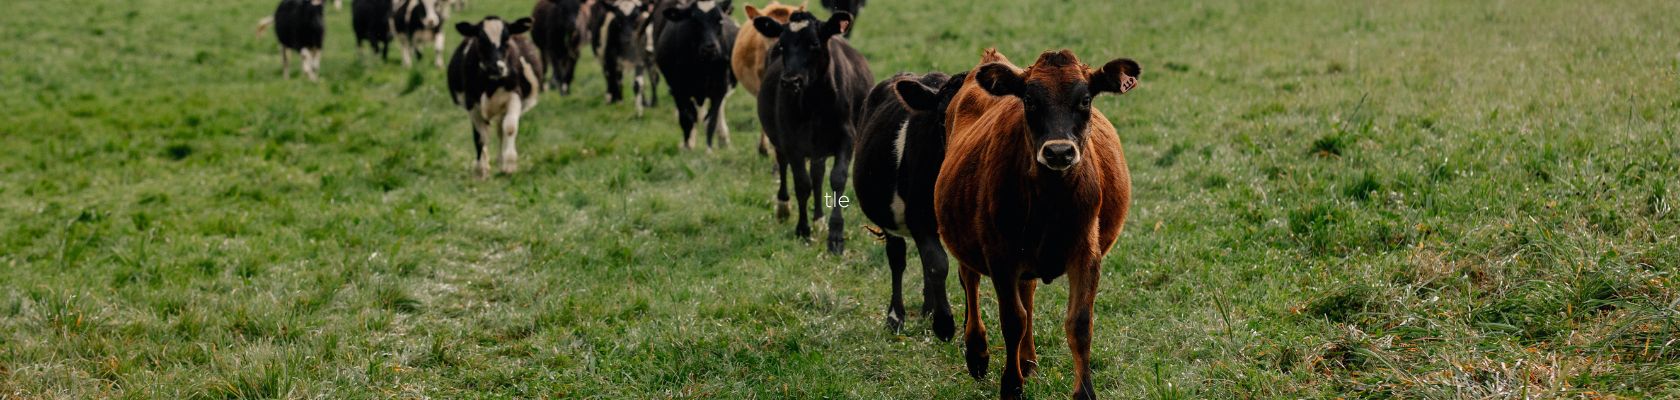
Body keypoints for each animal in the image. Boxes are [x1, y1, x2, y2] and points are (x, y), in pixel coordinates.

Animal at [447, 16, 544, 179]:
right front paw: (481, 169)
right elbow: (480, 136)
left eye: (506, 39)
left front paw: (509, 164)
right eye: (480, 40)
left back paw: (501, 159)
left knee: (501, 129)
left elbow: (509, 128)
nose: (496, 67)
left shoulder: (515, 95)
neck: (491, 84)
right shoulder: (471, 103)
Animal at [656, 0, 739, 151]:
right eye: (694, 20)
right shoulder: (678, 90)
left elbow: (711, 120)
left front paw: (709, 149)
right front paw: (687, 146)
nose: (710, 47)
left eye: (719, 20)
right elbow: (687, 118)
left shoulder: (719, 89)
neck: (702, 67)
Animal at [752, 11, 870, 255]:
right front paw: (802, 229)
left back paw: (819, 220)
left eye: (814, 43)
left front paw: (835, 236)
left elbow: (836, 179)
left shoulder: (847, 138)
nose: (790, 81)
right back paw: (784, 207)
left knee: (818, 174)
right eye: (782, 45)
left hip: (819, 146)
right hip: (782, 139)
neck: (815, 103)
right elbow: (802, 184)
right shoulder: (791, 141)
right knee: (784, 165)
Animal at [852, 71, 966, 339]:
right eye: (943, 117)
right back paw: (896, 317)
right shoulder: (919, 219)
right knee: (898, 259)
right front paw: (945, 325)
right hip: (891, 220)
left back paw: (927, 309)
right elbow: (938, 265)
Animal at [936, 49, 1140, 400]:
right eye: (1029, 100)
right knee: (970, 281)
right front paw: (1011, 385)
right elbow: (1012, 320)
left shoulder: (1086, 253)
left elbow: (1079, 323)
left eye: (1085, 99)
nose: (1058, 152)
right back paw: (977, 353)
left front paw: (1084, 391)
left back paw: (1028, 360)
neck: (1050, 202)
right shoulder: (1000, 255)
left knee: (1027, 291)